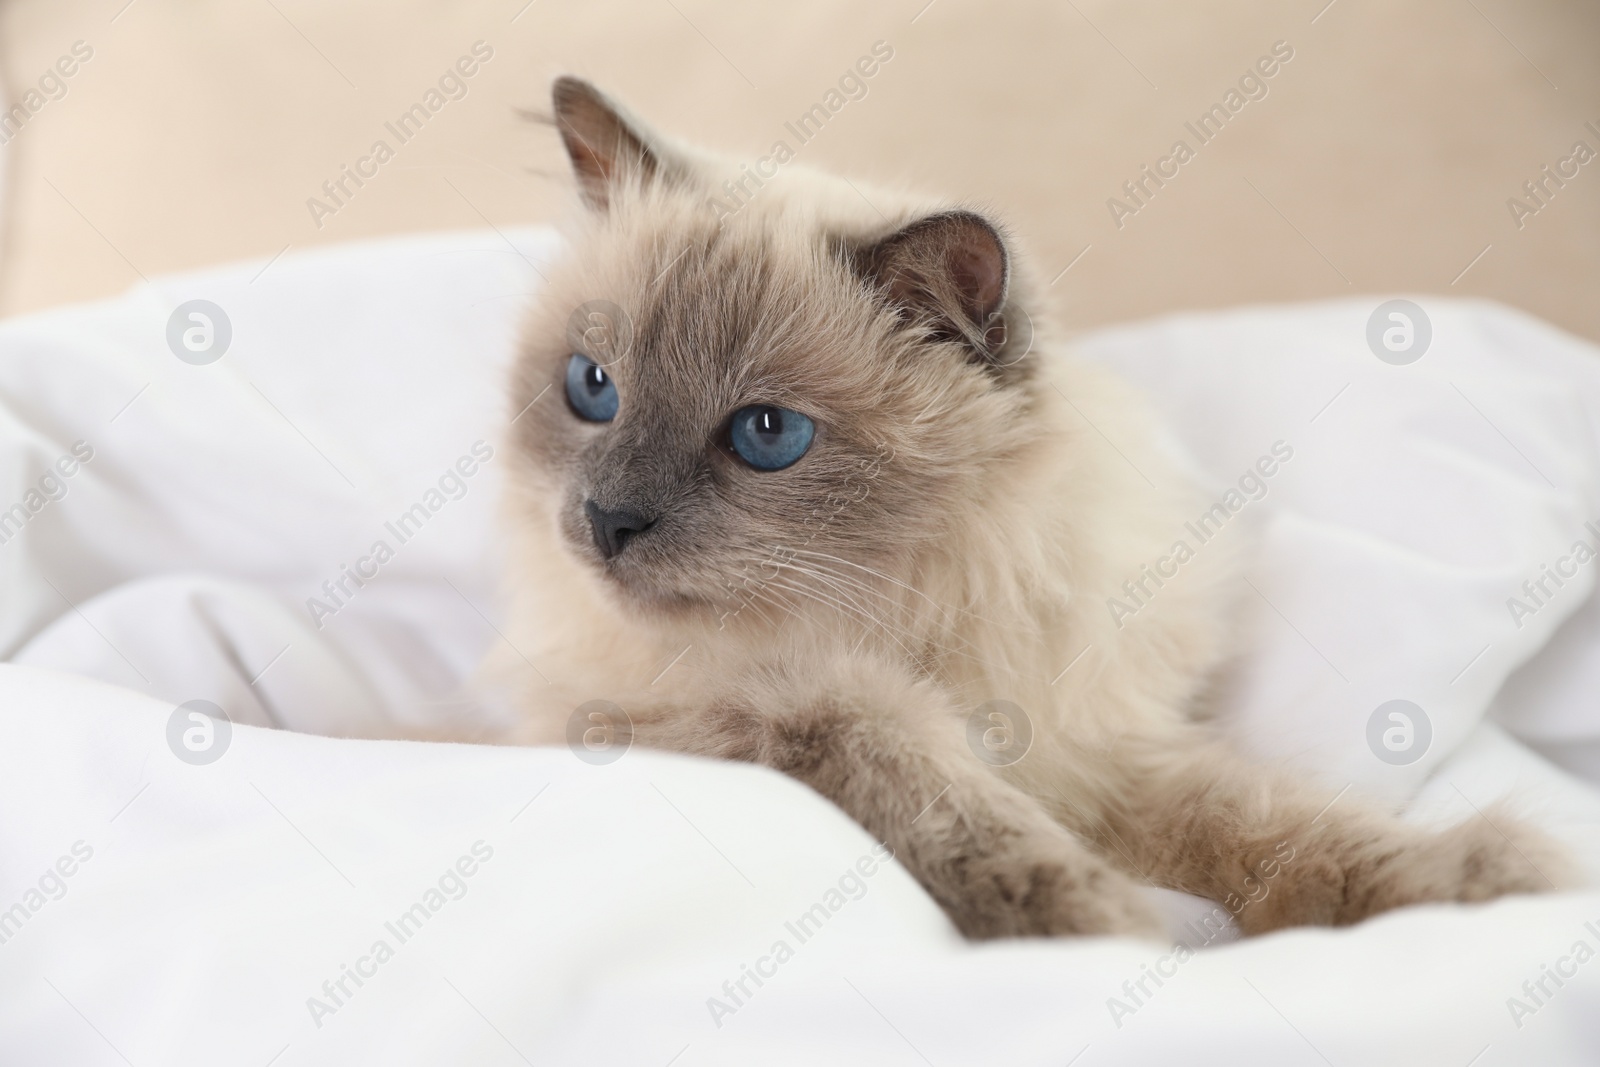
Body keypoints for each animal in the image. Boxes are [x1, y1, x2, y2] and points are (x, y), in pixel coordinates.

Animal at [492, 75, 1568, 940]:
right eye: (593, 388)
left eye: (766, 434)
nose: (607, 519)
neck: (905, 612)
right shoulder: (724, 713)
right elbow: (918, 777)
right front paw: (1104, 921)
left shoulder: (1102, 753)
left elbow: (1280, 826)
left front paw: (1489, 885)